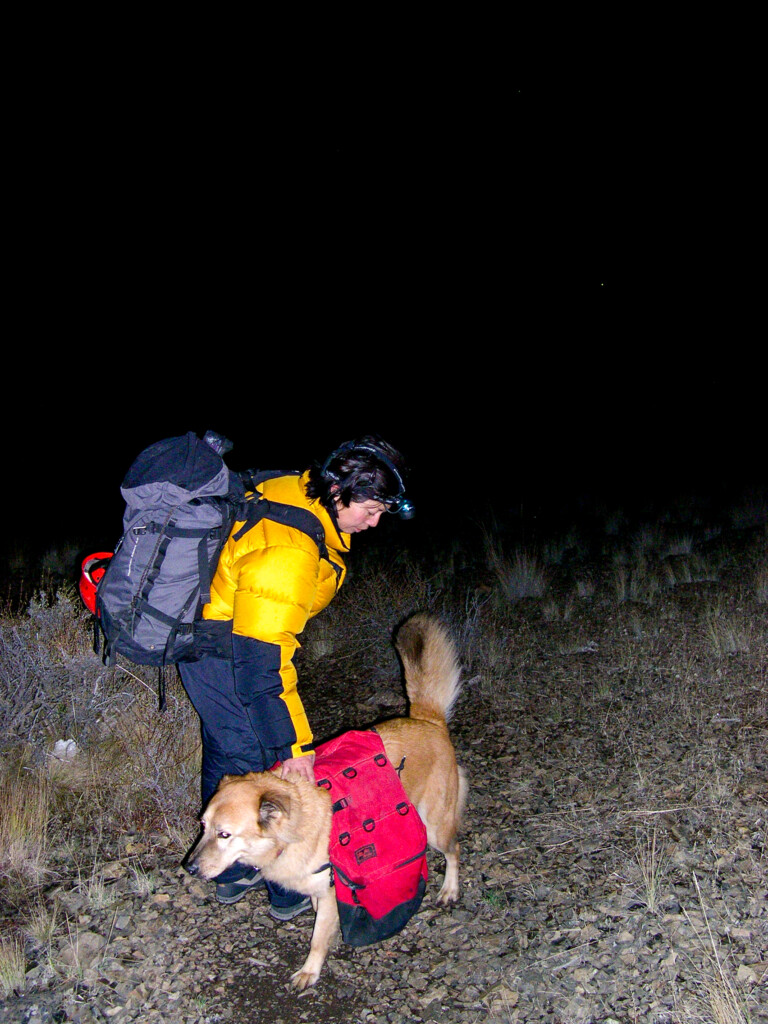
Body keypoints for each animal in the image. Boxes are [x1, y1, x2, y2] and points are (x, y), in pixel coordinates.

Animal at [185, 610, 468, 987]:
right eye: (202, 826)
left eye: (225, 834)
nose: (188, 868)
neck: (295, 829)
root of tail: (428, 720)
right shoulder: (318, 890)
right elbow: (321, 917)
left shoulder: (334, 890)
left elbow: (318, 937)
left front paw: (310, 970)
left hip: (436, 825)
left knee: (454, 850)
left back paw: (450, 889)